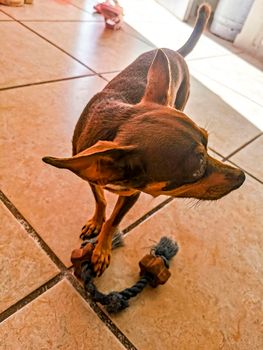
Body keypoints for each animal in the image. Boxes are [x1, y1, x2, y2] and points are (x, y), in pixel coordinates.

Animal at [42, 2, 246, 276]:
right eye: (196, 171)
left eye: (207, 140)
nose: (241, 177)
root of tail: (175, 52)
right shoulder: (92, 175)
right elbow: (101, 200)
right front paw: (96, 221)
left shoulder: (131, 195)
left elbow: (113, 221)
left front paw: (102, 249)